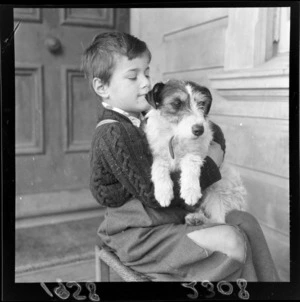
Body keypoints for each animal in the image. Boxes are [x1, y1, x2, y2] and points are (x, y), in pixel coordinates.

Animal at [145, 79, 246, 225]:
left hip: (218, 191)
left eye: (201, 104)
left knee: (219, 221)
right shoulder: (159, 154)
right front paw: (163, 192)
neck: (176, 136)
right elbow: (159, 166)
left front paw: (190, 190)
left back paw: (198, 219)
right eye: (177, 103)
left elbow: (190, 160)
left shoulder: (199, 151)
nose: (199, 130)